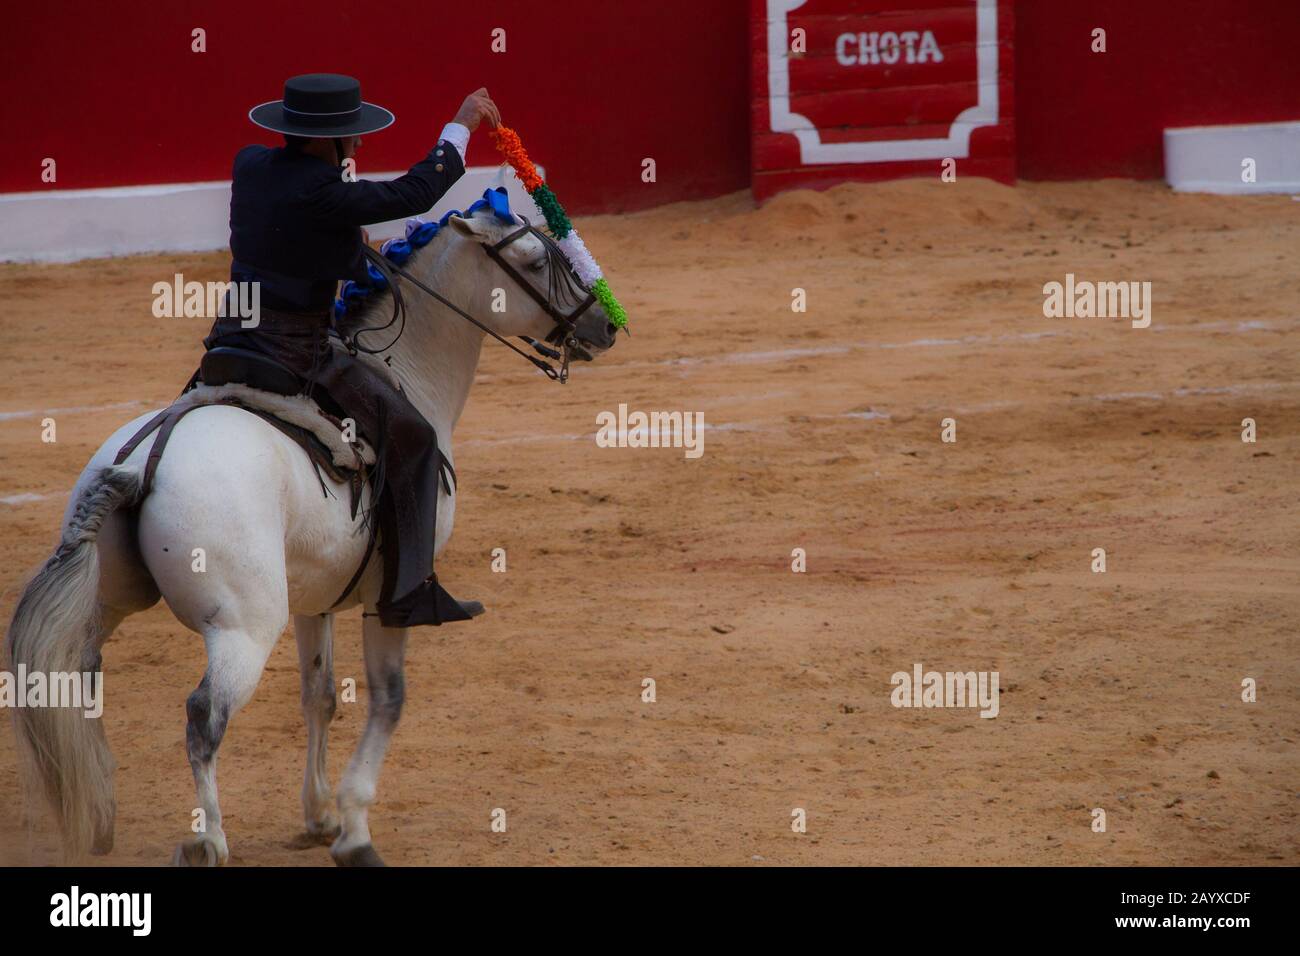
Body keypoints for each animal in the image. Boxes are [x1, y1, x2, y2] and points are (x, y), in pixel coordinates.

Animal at [5, 201, 616, 868]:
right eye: (535, 261)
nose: (603, 324)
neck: (404, 371)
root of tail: (142, 462)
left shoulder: (315, 597)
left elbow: (319, 694)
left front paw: (319, 815)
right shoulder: (390, 597)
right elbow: (389, 697)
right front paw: (353, 830)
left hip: (109, 604)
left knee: (77, 679)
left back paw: (100, 815)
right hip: (244, 626)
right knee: (204, 714)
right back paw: (206, 839)